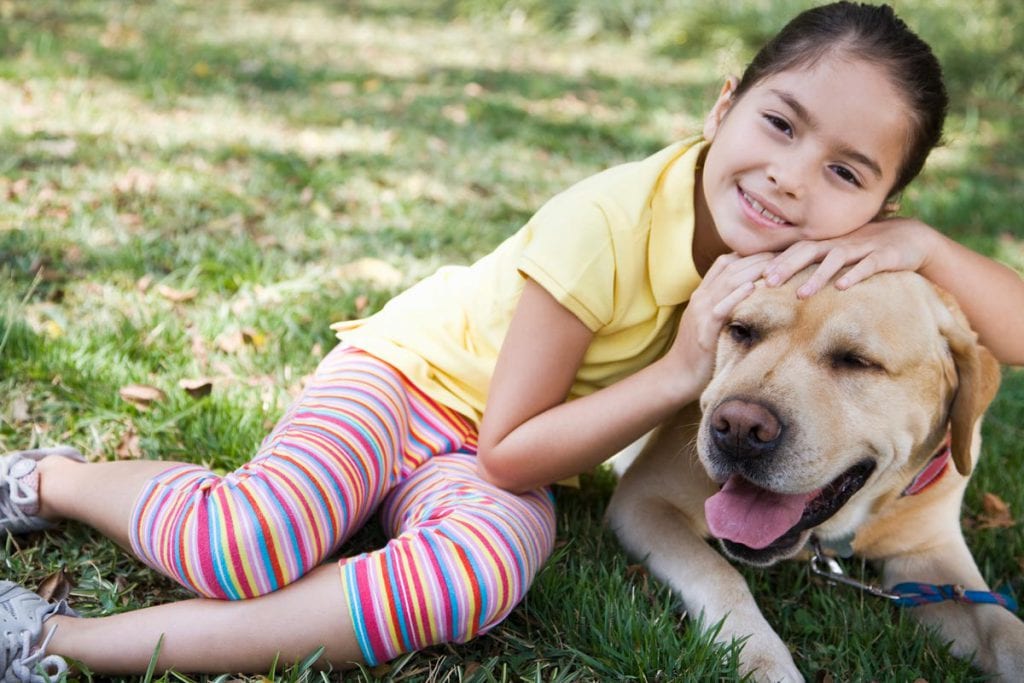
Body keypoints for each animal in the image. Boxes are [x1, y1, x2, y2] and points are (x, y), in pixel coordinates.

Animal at [606, 270, 1024, 679]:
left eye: (856, 360)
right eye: (742, 331)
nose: (739, 428)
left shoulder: (932, 559)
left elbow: (1002, 630)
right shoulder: (645, 501)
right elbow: (718, 572)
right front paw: (762, 657)